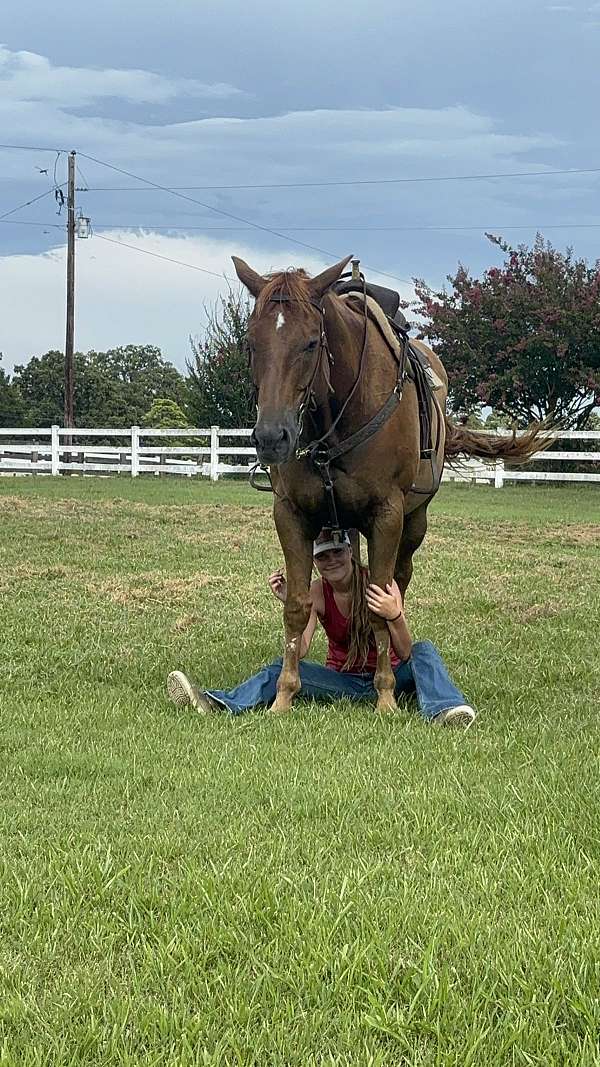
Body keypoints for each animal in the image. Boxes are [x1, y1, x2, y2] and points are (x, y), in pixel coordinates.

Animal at [232, 254, 548, 713]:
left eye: (310, 343)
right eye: (251, 344)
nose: (272, 438)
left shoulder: (387, 515)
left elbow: (381, 603)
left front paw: (384, 697)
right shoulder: (290, 514)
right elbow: (296, 606)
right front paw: (284, 696)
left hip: (413, 524)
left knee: (398, 581)